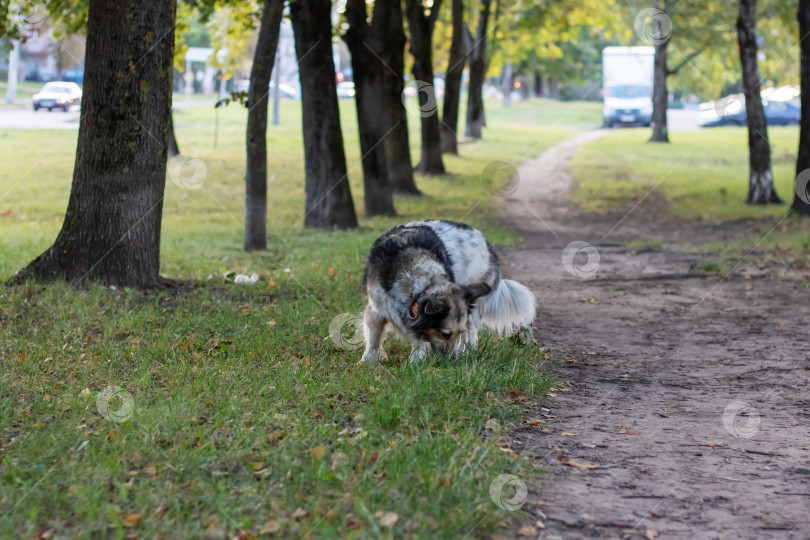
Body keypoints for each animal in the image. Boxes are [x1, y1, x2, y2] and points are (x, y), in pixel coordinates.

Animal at [360, 219, 536, 362]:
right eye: (445, 334)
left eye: (455, 333)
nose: (453, 360)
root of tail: (486, 243)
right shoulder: (376, 309)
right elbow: (373, 338)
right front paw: (367, 362)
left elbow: (419, 340)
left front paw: (415, 362)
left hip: (472, 301)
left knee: (472, 332)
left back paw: (469, 353)